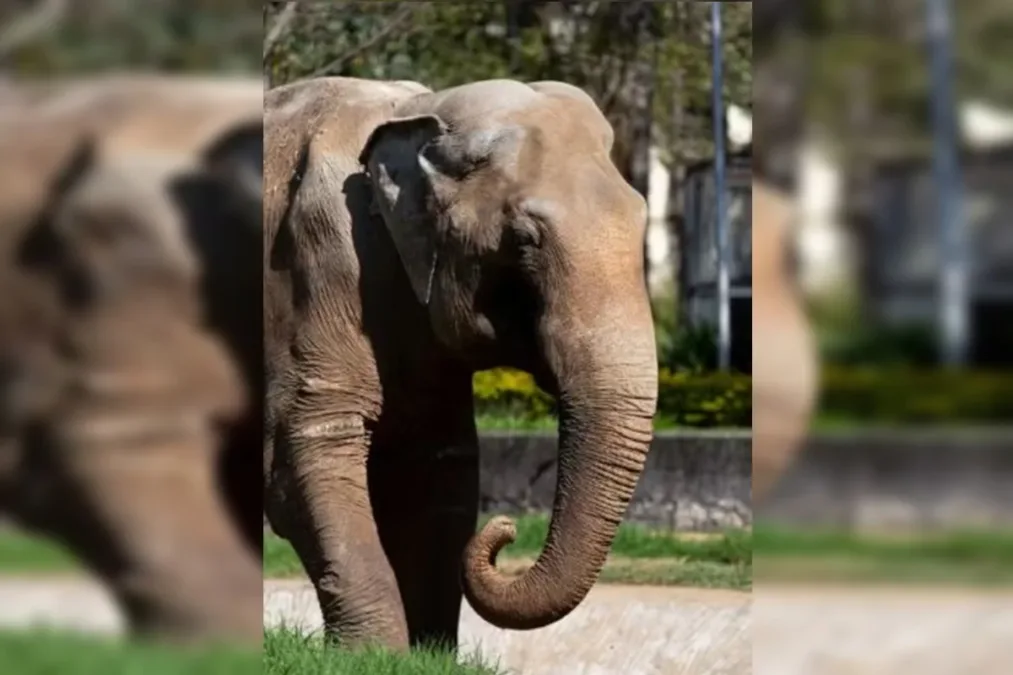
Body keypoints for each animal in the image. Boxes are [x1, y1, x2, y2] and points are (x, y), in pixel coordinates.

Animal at [264, 76, 658, 651]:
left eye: (642, 222)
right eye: (524, 242)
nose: (507, 530)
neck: (417, 111)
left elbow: (440, 465)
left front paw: (427, 654)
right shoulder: (314, 266)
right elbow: (308, 450)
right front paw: (370, 653)